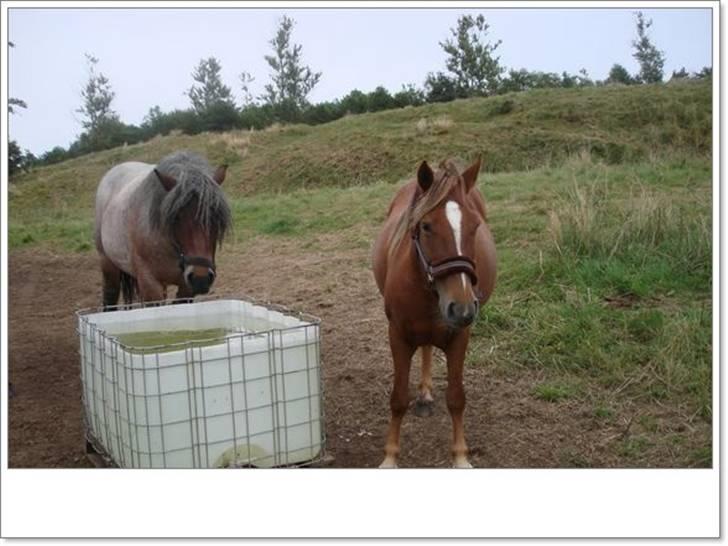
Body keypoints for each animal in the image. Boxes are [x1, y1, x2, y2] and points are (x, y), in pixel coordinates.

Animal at [94, 150, 230, 306]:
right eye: (176, 216)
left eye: (216, 215)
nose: (200, 279)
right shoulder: (150, 285)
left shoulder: (186, 289)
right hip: (108, 265)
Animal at [372, 157, 498, 468]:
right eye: (426, 226)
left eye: (475, 226)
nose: (462, 307)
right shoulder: (398, 336)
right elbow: (398, 399)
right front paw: (390, 456)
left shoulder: (459, 336)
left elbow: (456, 398)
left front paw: (461, 456)